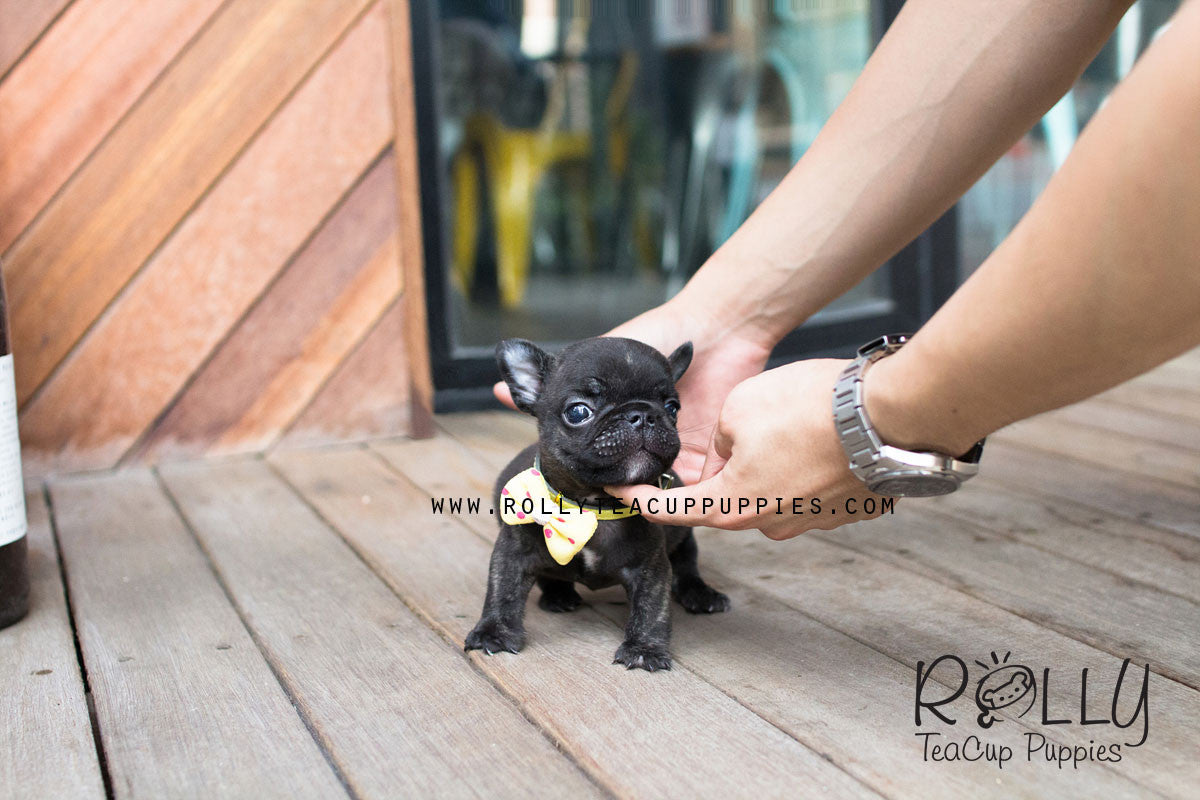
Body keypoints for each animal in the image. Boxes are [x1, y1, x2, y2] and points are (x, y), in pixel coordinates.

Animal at [463, 335, 729, 671]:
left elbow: (652, 607)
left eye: (672, 408)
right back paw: (559, 595)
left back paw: (701, 594)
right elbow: (503, 590)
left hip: (682, 539)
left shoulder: (650, 566)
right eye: (578, 412)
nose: (643, 415)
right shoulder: (513, 551)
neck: (593, 507)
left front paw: (644, 648)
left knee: (686, 565)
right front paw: (493, 632)